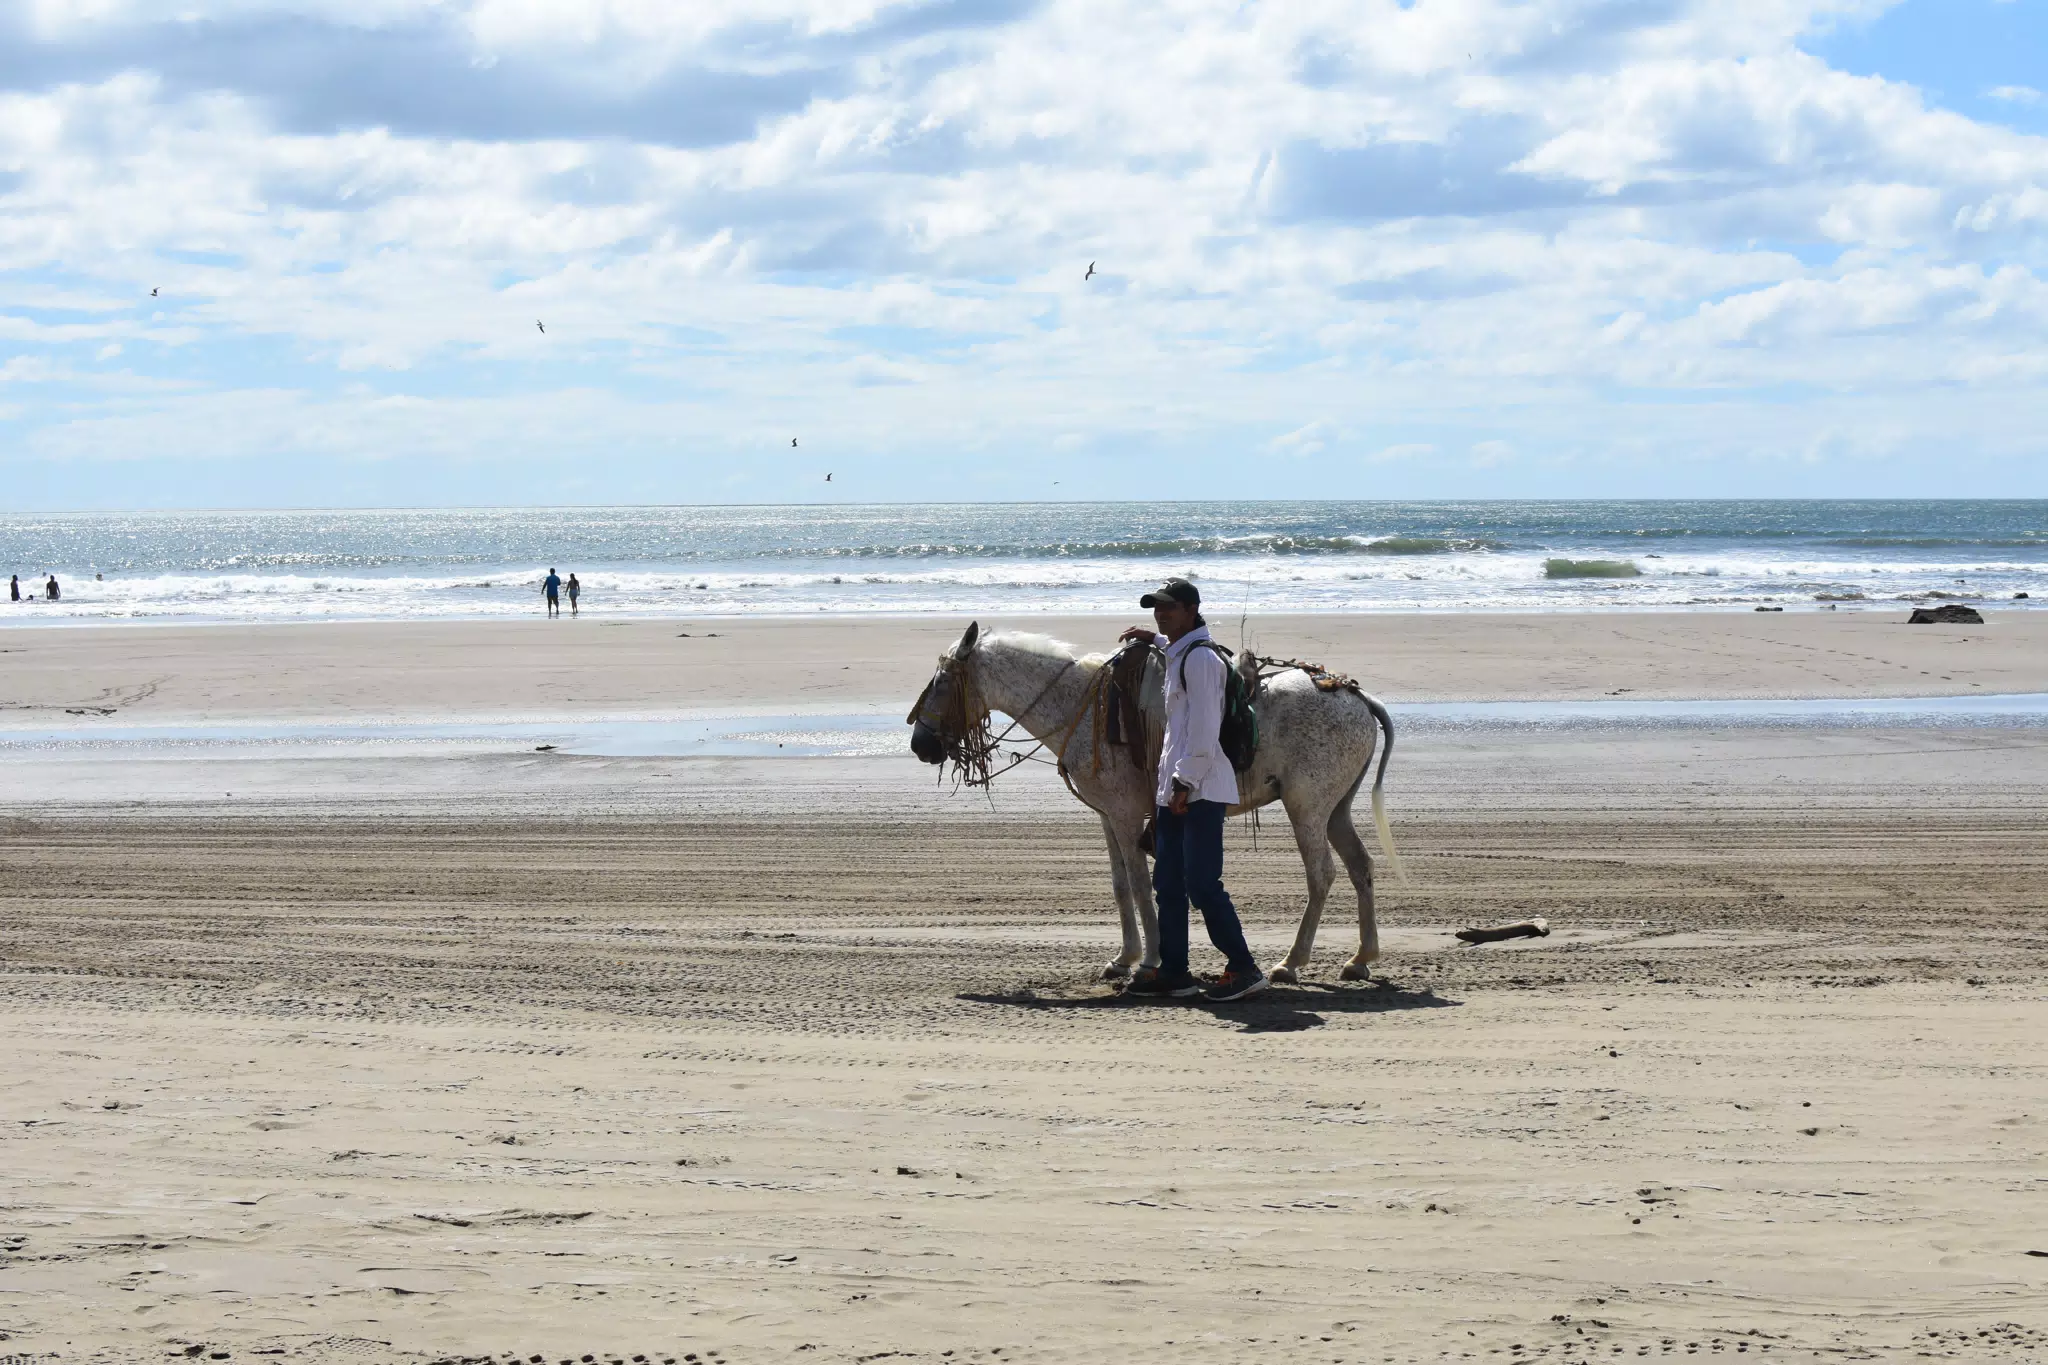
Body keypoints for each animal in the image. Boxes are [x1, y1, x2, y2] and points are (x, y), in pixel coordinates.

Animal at [908, 622, 1404, 983]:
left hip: (1308, 809)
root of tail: (1356, 695)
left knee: (1322, 875)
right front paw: (1124, 956)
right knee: (1360, 867)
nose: (919, 744)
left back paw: (1291, 962)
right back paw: (1362, 957)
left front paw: (1148, 961)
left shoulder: (1127, 817)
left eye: (942, 681)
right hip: (1336, 810)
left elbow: (1142, 885)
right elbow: (1121, 885)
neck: (1082, 706)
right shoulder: (1109, 818)